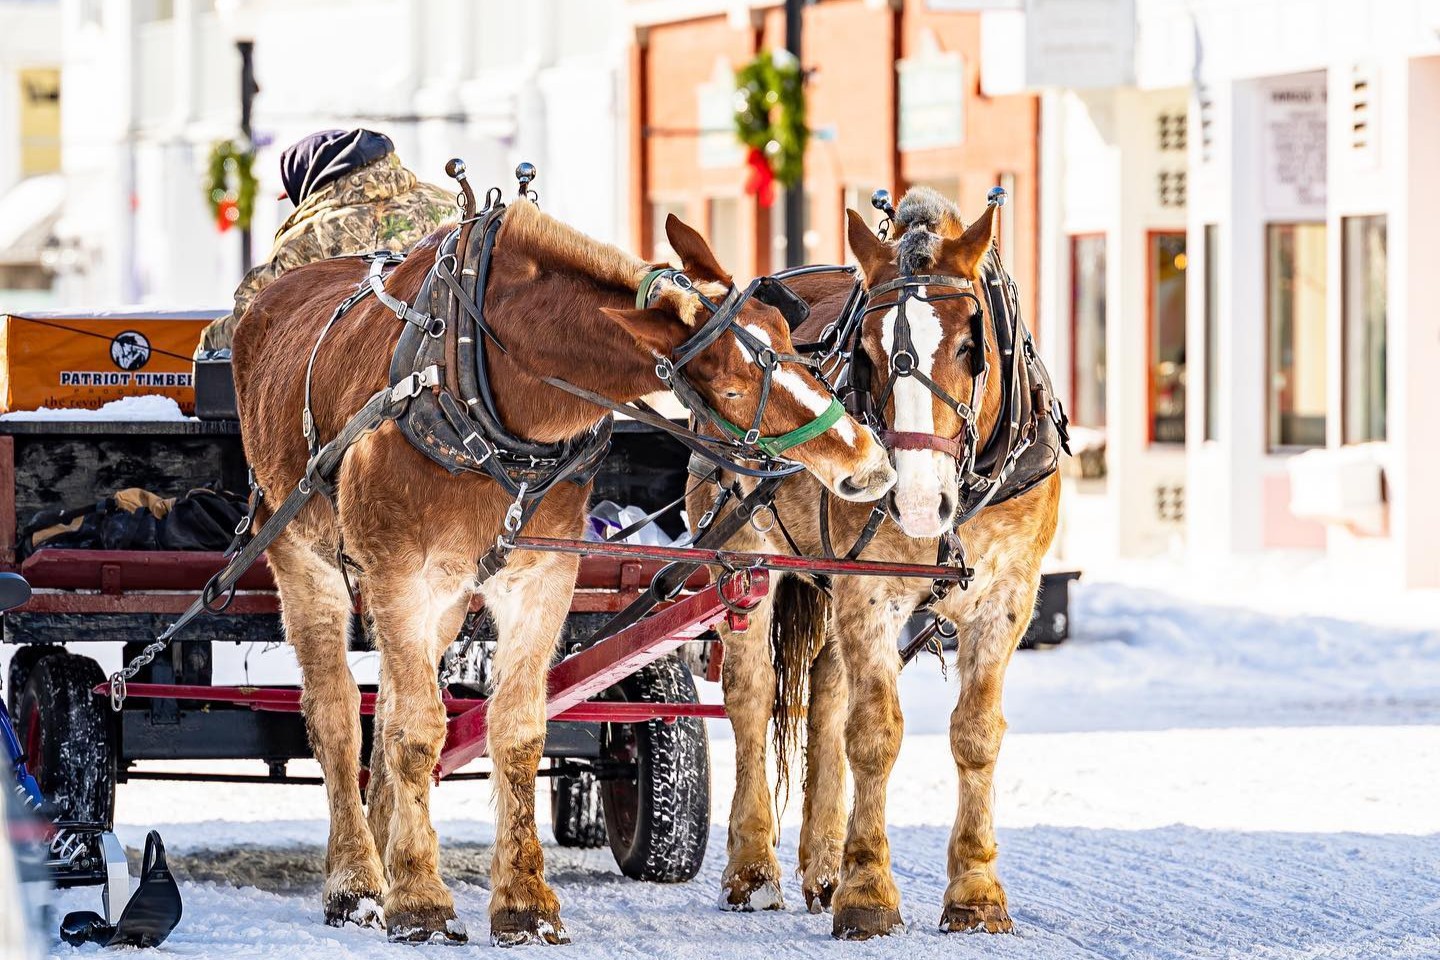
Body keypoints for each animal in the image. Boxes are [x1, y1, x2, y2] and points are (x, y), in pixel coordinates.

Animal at [230, 198, 897, 946]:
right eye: (730, 383)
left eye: (789, 338)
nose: (868, 461)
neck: (483, 385)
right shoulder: (400, 573)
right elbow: (414, 732)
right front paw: (421, 900)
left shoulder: (541, 578)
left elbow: (512, 729)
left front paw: (521, 900)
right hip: (304, 557)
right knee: (340, 717)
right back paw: (355, 876)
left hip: (447, 598)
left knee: (396, 708)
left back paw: (385, 845)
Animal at [689, 187, 1063, 939]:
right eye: (865, 349)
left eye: (972, 346)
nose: (916, 500)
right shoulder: (871, 594)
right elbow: (875, 735)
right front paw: (868, 893)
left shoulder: (1009, 596)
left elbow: (976, 734)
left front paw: (975, 892)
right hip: (743, 564)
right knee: (750, 700)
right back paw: (754, 869)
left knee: (826, 699)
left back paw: (822, 867)